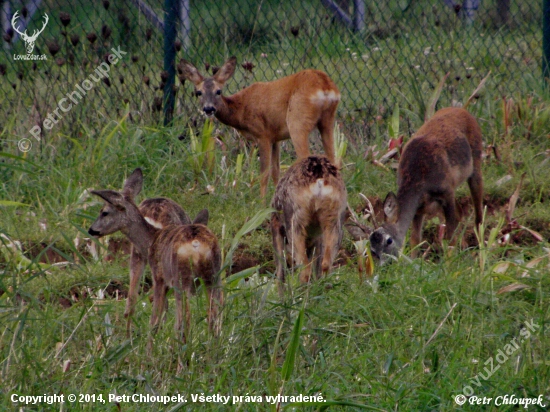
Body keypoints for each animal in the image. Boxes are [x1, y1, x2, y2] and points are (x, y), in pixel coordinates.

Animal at [88, 169, 222, 342]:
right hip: (214, 275)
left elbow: (154, 319)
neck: (152, 237)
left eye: (104, 212)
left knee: (182, 321)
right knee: (214, 316)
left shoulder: (159, 276)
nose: (91, 230)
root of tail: (196, 243)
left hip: (181, 278)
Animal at [179, 57, 342, 198]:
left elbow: (264, 174)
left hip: (297, 121)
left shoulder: (262, 134)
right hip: (328, 121)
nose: (208, 109)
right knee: (334, 162)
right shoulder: (276, 138)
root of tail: (324, 85)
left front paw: (261, 204)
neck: (240, 110)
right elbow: (276, 171)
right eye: (198, 92)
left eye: (218, 91)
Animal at [272, 155, 348, 292]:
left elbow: (280, 273)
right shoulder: (317, 238)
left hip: (295, 222)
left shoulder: (275, 224)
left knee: (304, 270)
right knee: (325, 264)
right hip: (334, 221)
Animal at [368, 108, 486, 264]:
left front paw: (449, 264)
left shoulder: (447, 191)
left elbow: (450, 234)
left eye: (389, 240)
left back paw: (480, 248)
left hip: (476, 163)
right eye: (372, 251)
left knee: (478, 213)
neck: (419, 182)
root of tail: (463, 110)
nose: (385, 264)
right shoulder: (419, 209)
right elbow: (415, 239)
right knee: (460, 211)